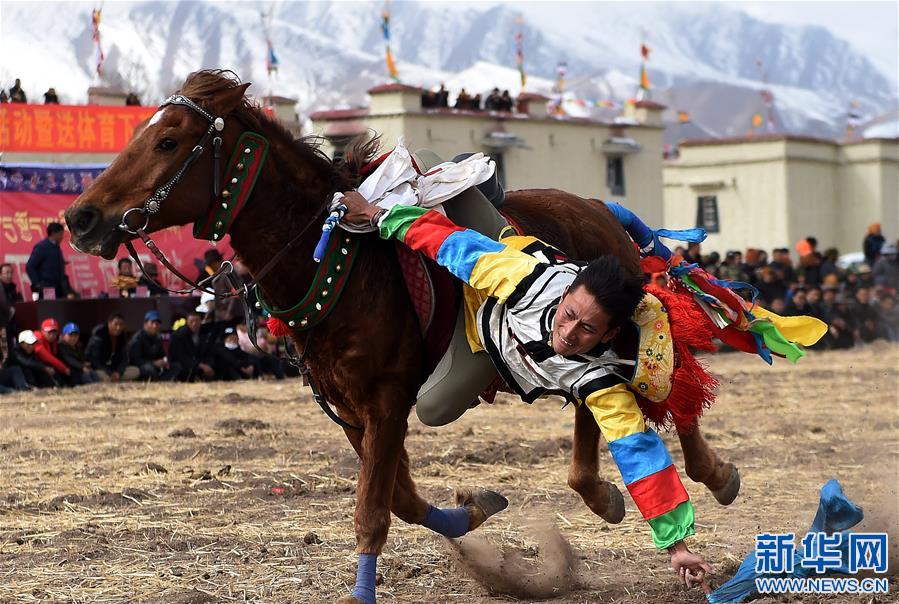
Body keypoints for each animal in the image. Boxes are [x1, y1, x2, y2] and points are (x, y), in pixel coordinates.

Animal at [63, 69, 732, 600]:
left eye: (168, 140)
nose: (81, 217)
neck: (336, 257)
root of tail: (598, 207)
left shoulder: (387, 400)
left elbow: (373, 512)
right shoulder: (350, 409)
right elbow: (402, 499)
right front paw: (472, 511)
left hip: (619, 326)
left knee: (666, 384)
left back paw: (713, 473)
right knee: (594, 411)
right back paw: (606, 492)